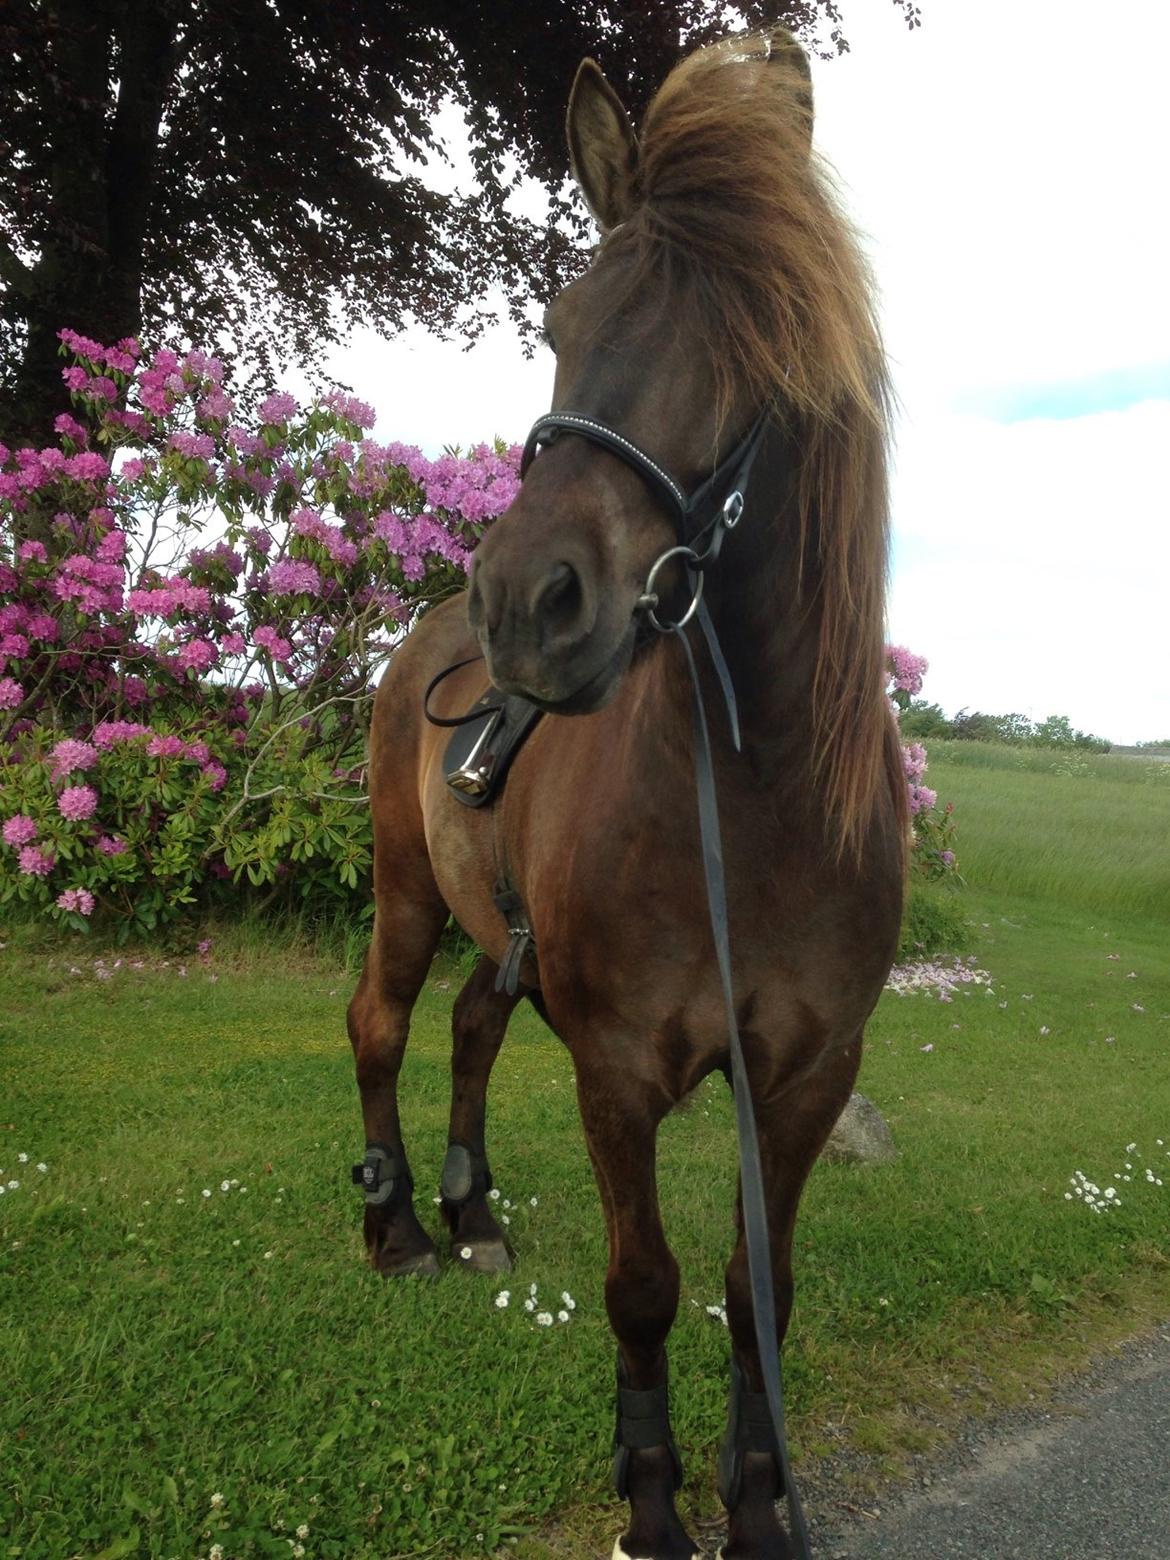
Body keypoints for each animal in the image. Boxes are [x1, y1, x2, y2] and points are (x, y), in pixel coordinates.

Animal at [347, 30, 904, 1560]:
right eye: (560, 315)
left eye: (757, 340)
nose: (529, 603)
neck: (753, 799)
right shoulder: (617, 1073)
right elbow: (644, 1286)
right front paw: (652, 1502)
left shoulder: (807, 1077)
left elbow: (757, 1292)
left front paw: (758, 1504)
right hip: (405, 892)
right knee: (382, 1027)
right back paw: (398, 1229)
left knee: (471, 1026)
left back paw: (471, 1214)